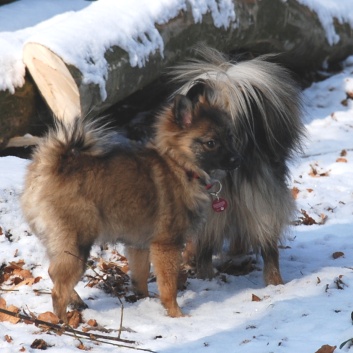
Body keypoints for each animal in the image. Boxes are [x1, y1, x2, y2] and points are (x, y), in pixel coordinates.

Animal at [21, 90, 239, 320]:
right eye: (211, 143)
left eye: (230, 137)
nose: (237, 159)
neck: (181, 166)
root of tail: (51, 167)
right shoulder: (167, 245)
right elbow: (169, 285)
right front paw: (175, 313)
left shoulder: (138, 245)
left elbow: (140, 276)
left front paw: (143, 300)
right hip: (76, 242)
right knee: (59, 287)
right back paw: (64, 321)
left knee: (54, 274)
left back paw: (76, 302)